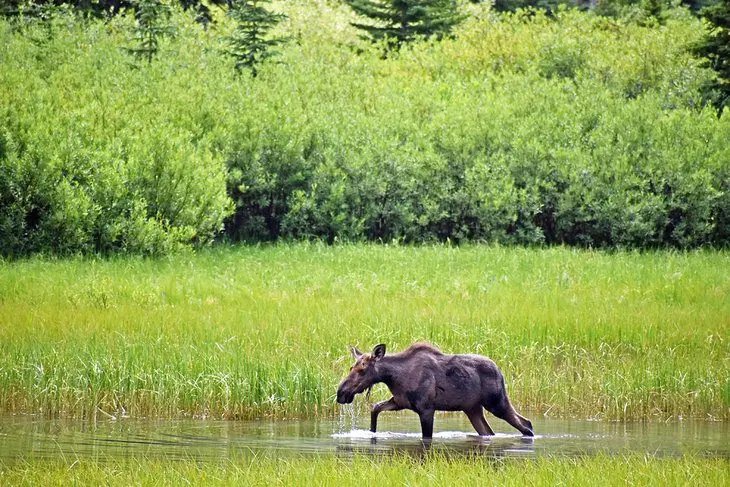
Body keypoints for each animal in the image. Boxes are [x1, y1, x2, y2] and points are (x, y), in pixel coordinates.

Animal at [332, 342, 532, 440]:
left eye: (362, 369)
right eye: (351, 367)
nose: (341, 393)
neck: (393, 378)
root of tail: (500, 371)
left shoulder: (427, 409)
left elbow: (426, 436)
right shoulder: (400, 401)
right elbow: (375, 408)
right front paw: (372, 433)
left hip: (497, 402)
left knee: (526, 424)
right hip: (473, 408)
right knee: (488, 432)